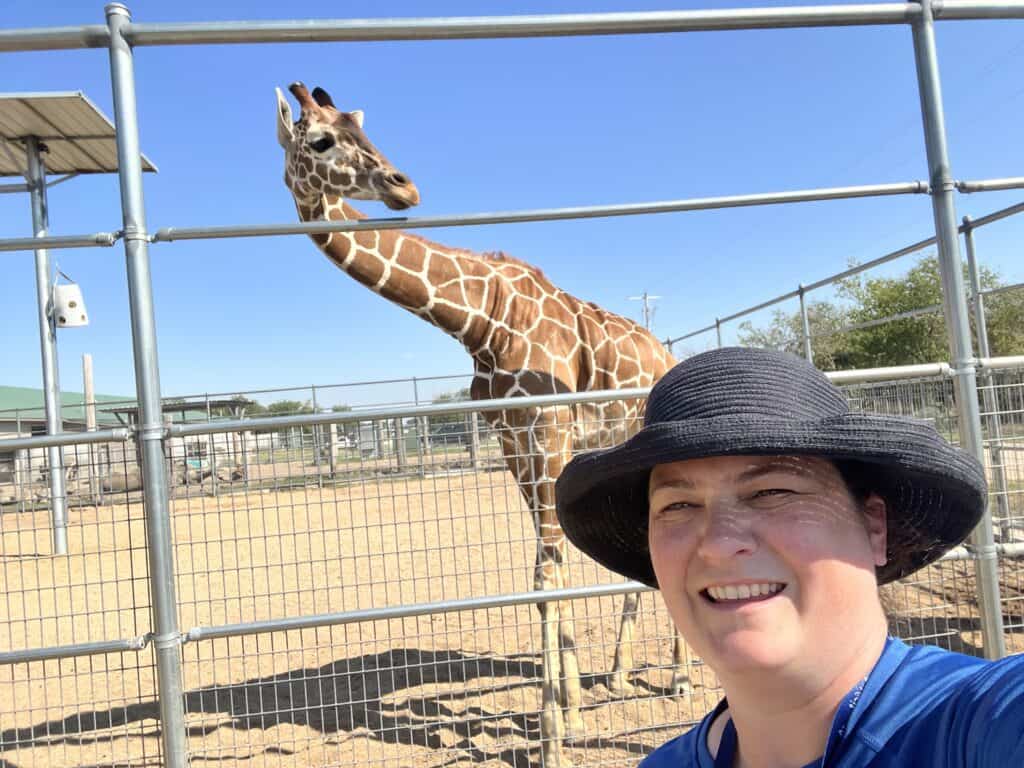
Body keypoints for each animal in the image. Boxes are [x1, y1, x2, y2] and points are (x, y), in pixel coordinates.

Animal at [275, 82, 690, 765]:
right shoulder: (514, 444)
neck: (481, 321)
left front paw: (551, 738)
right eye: (322, 139)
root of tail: (669, 355)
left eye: (359, 129)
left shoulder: (547, 433)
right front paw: (571, 711)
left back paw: (679, 677)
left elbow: (546, 571)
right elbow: (551, 566)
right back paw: (618, 672)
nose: (405, 186)